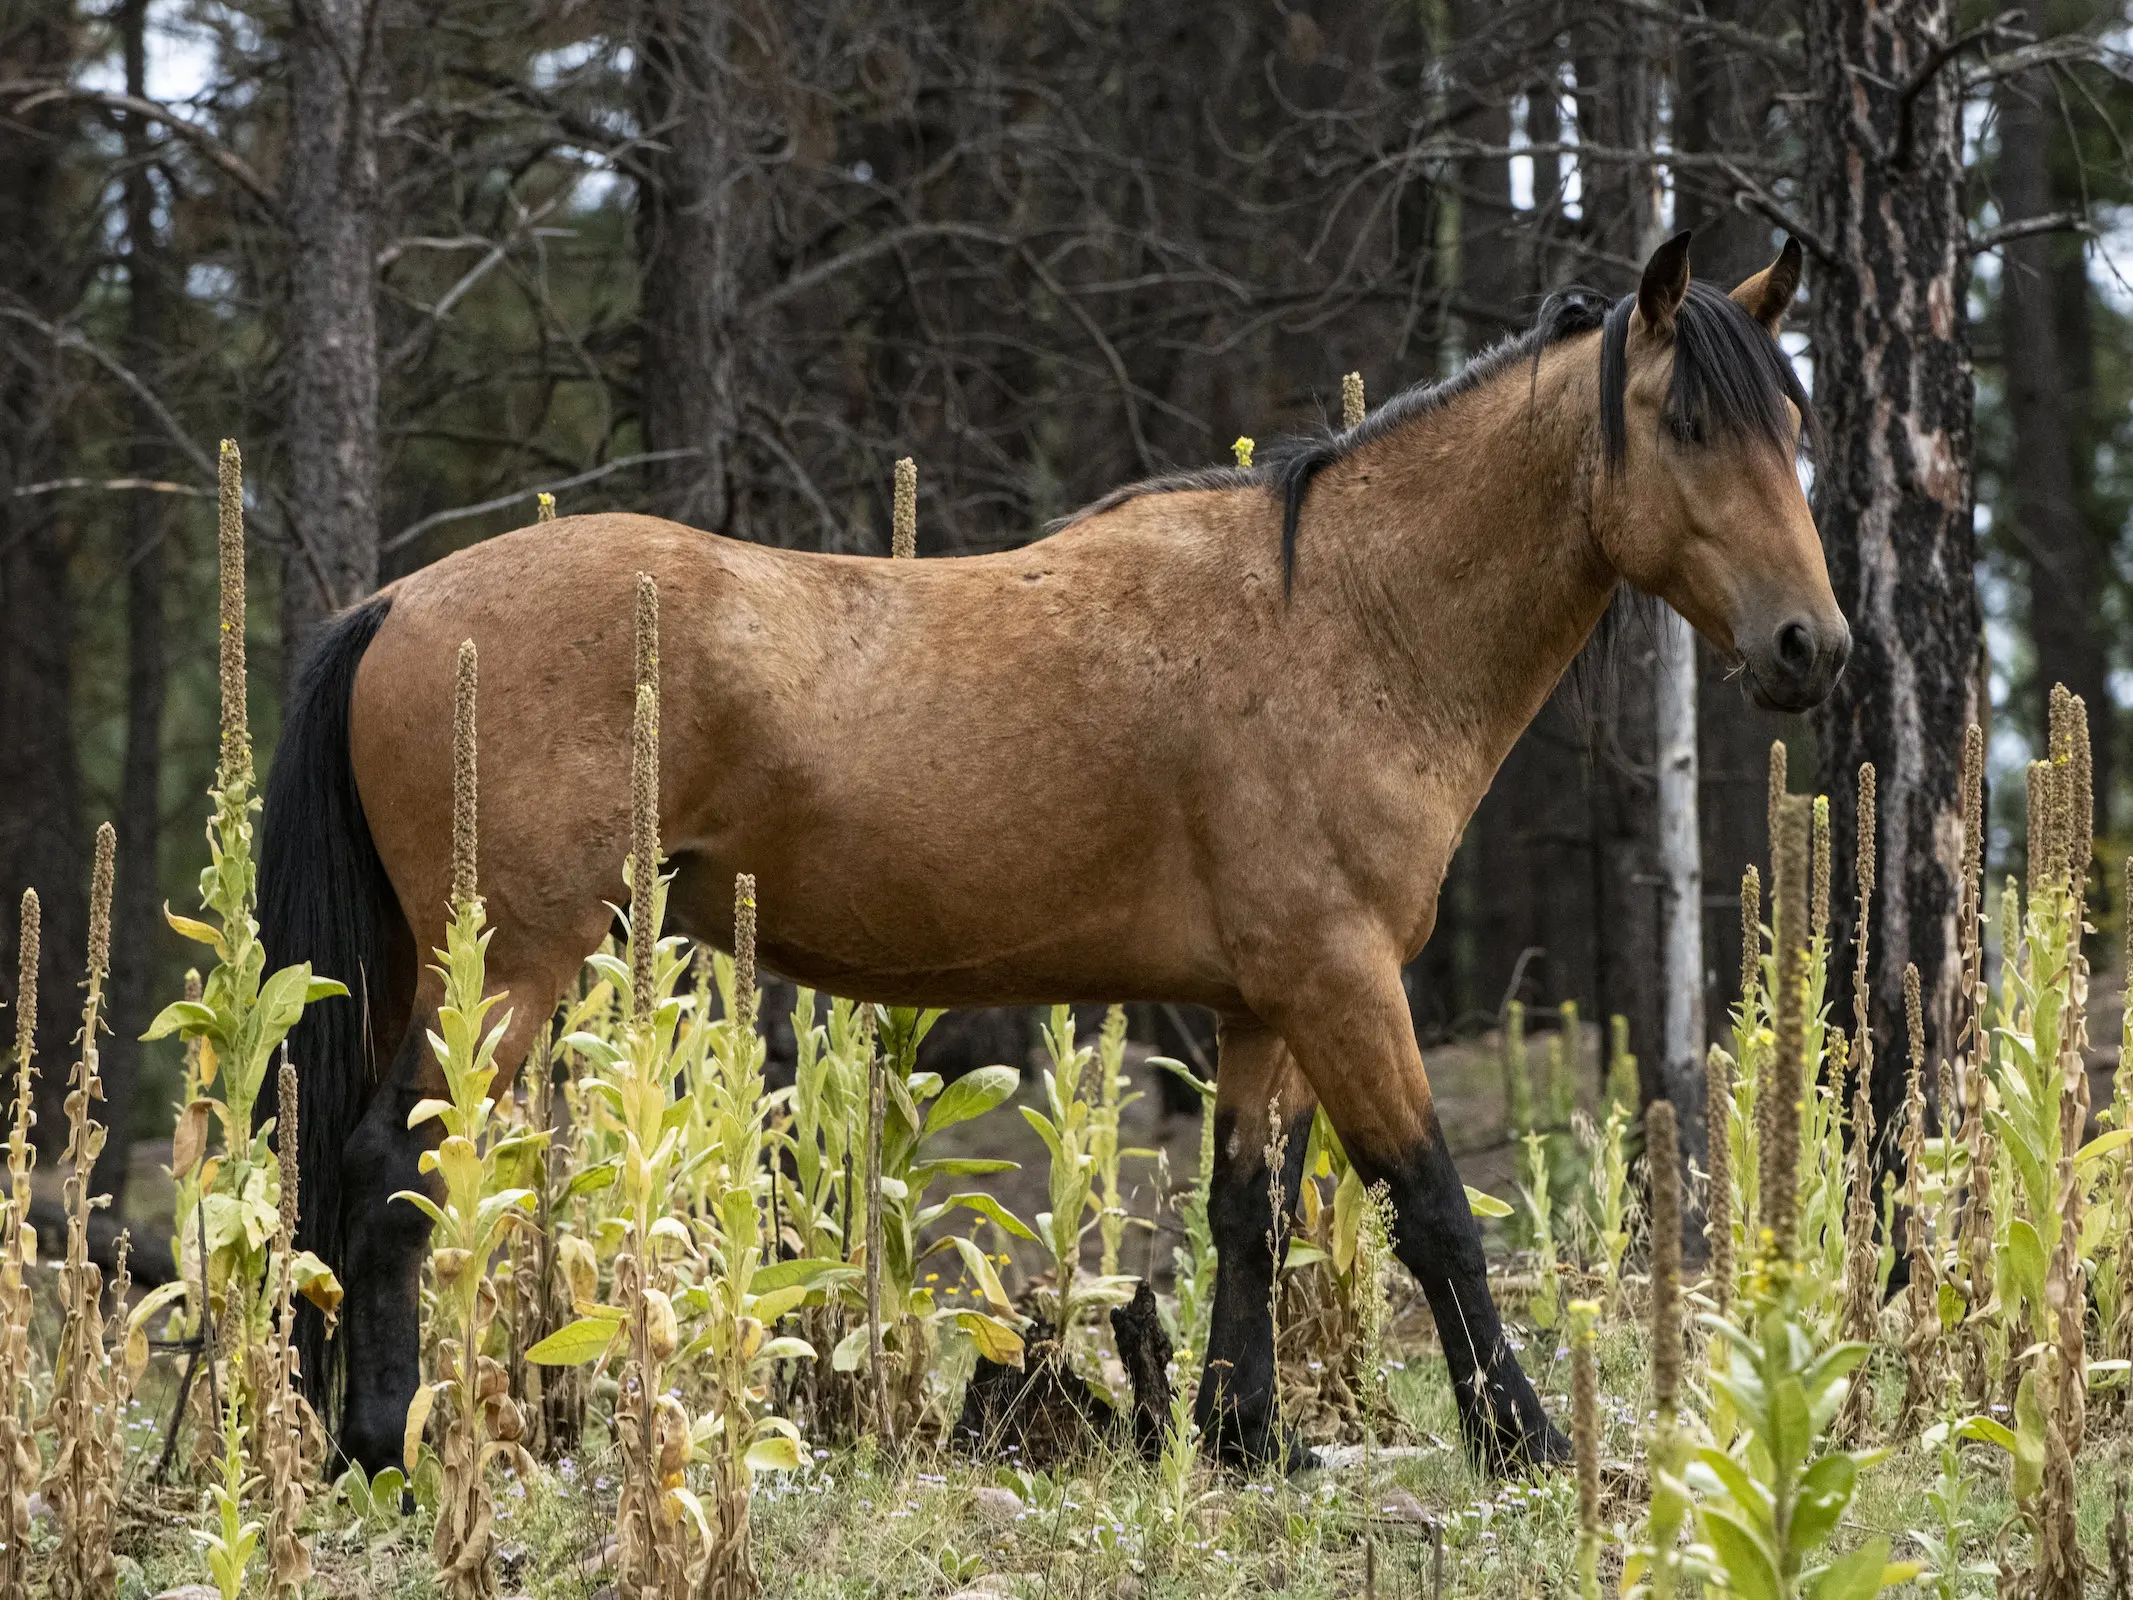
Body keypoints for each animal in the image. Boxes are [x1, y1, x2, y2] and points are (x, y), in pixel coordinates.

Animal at [253, 234, 1851, 1476]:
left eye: (1793, 426)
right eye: (1689, 426)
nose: (1811, 649)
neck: (1339, 622)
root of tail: (398, 602)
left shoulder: (1265, 1005)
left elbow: (1246, 1213)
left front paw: (1246, 1438)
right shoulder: (1345, 985)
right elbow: (1432, 1208)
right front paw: (1522, 1437)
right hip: (510, 964)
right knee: (389, 1161)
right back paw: (381, 1447)